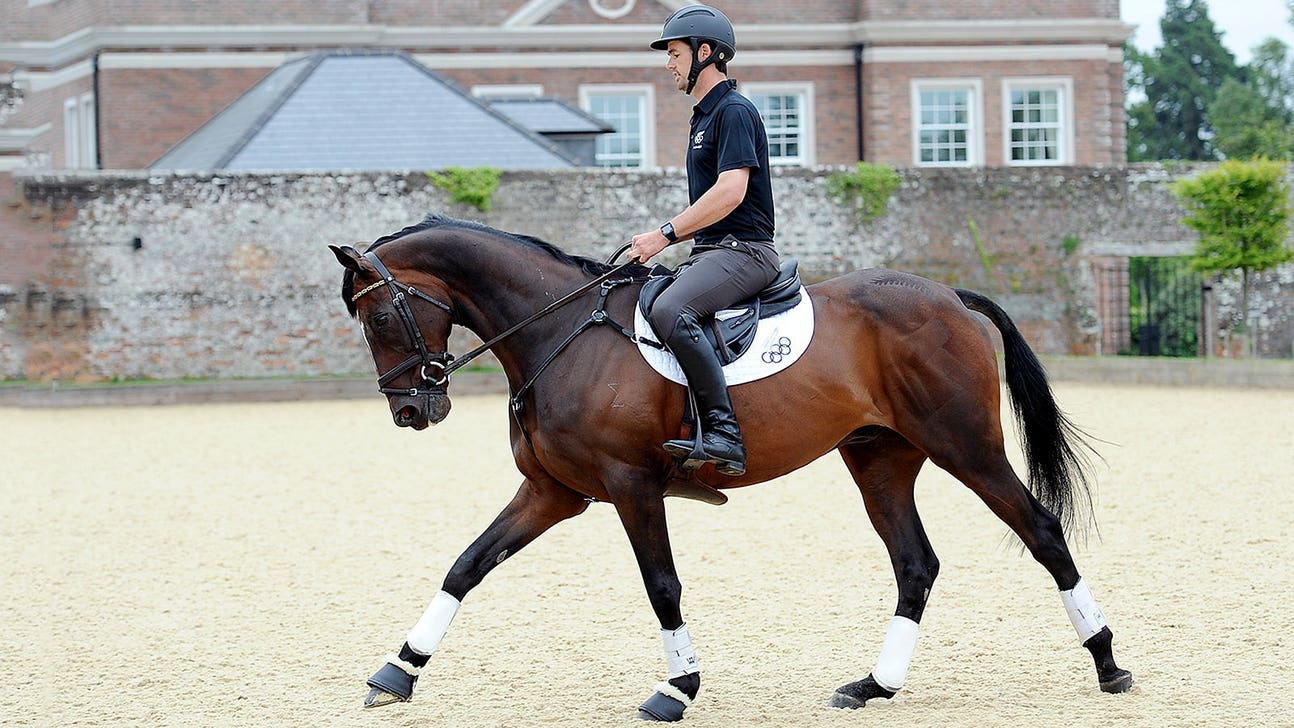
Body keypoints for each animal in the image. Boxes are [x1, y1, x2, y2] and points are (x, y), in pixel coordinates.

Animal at [329, 214, 1133, 721]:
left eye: (380, 317)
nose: (412, 410)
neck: (557, 331)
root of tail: (949, 298)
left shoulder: (629, 486)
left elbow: (661, 586)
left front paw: (677, 689)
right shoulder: (553, 491)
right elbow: (467, 565)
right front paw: (397, 672)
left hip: (966, 446)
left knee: (1041, 531)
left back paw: (1107, 664)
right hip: (879, 460)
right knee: (916, 564)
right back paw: (874, 686)